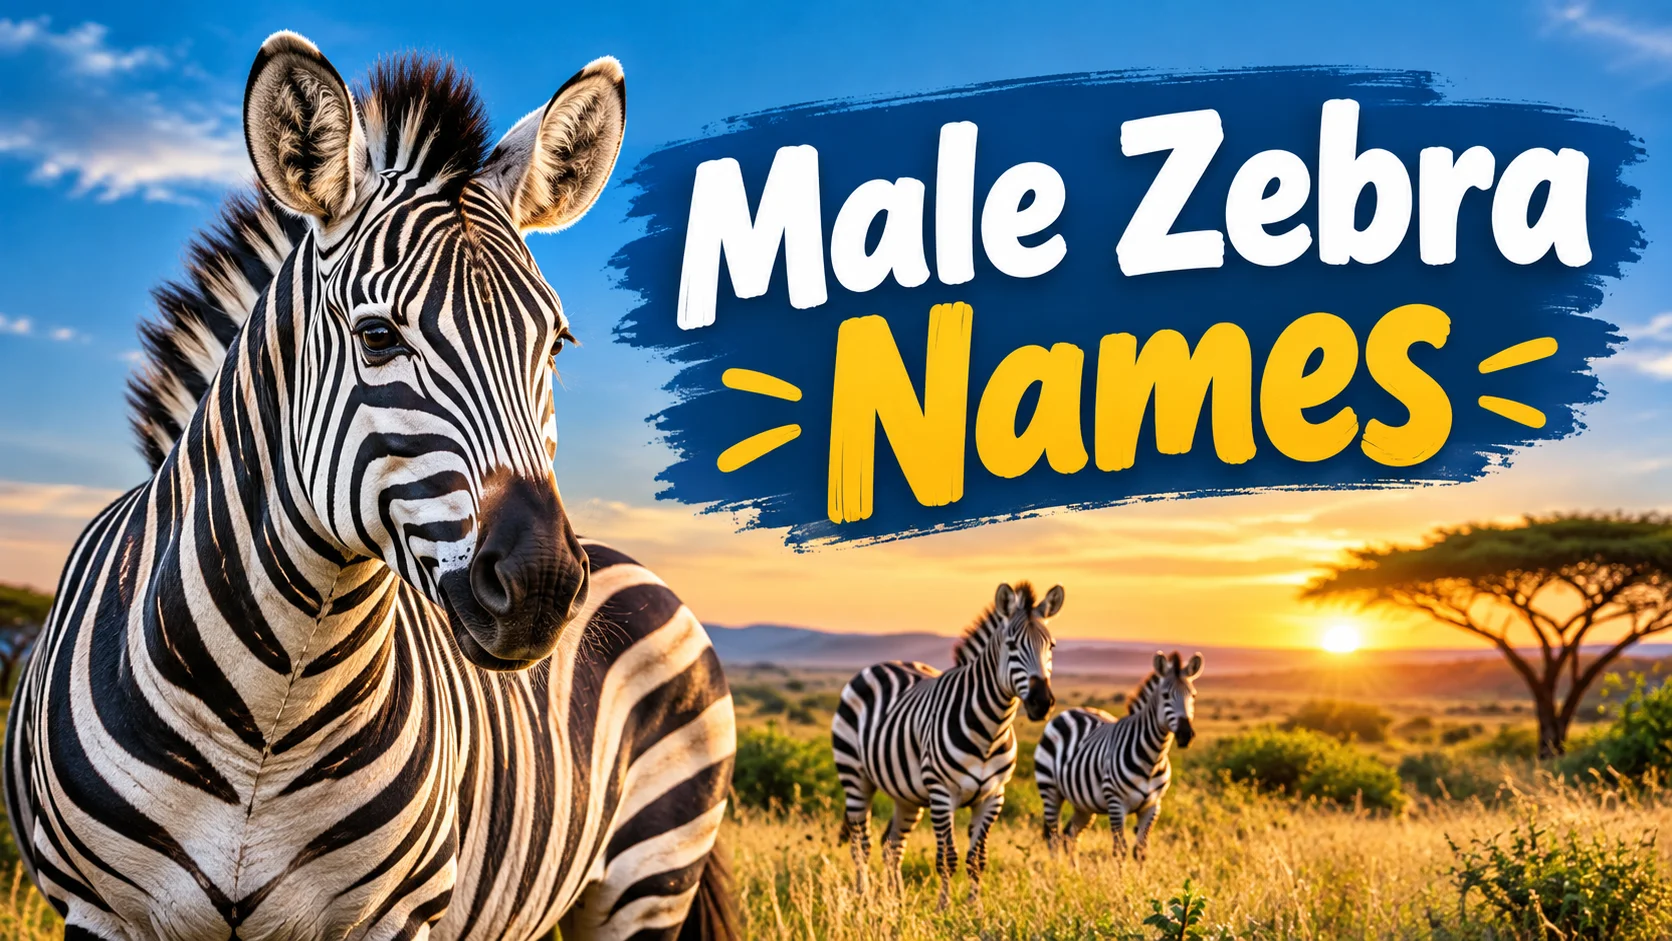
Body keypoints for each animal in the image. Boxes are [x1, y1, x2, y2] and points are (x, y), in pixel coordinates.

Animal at [4, 32, 738, 941]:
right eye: (378, 335)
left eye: (556, 343)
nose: (541, 585)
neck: (274, 707)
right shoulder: (101, 911)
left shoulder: (393, 914)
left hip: (650, 875)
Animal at [831, 582, 1062, 907]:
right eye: (1012, 645)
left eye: (1050, 646)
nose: (1042, 703)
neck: (990, 731)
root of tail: (880, 665)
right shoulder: (942, 793)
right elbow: (947, 858)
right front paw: (944, 908)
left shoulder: (993, 796)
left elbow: (977, 859)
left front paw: (975, 908)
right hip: (854, 776)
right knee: (860, 843)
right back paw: (863, 896)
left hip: (907, 793)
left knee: (891, 845)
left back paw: (897, 900)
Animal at [1033, 651, 1203, 862]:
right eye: (1165, 696)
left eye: (1193, 695)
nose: (1186, 735)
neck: (1153, 758)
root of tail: (1069, 712)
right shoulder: (1116, 803)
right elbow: (1120, 850)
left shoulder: (1153, 806)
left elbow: (1140, 850)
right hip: (1049, 788)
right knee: (1054, 837)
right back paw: (1057, 871)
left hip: (1083, 803)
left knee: (1070, 836)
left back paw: (1074, 871)